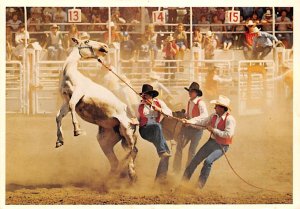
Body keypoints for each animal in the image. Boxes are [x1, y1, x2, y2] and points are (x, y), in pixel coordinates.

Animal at [55, 38, 138, 181]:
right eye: (87, 41)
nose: (105, 46)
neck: (70, 73)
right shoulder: (65, 101)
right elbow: (59, 116)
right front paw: (59, 140)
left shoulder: (78, 94)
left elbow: (72, 105)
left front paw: (77, 130)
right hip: (105, 140)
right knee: (116, 161)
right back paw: (109, 179)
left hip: (127, 130)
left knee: (133, 150)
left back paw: (131, 173)